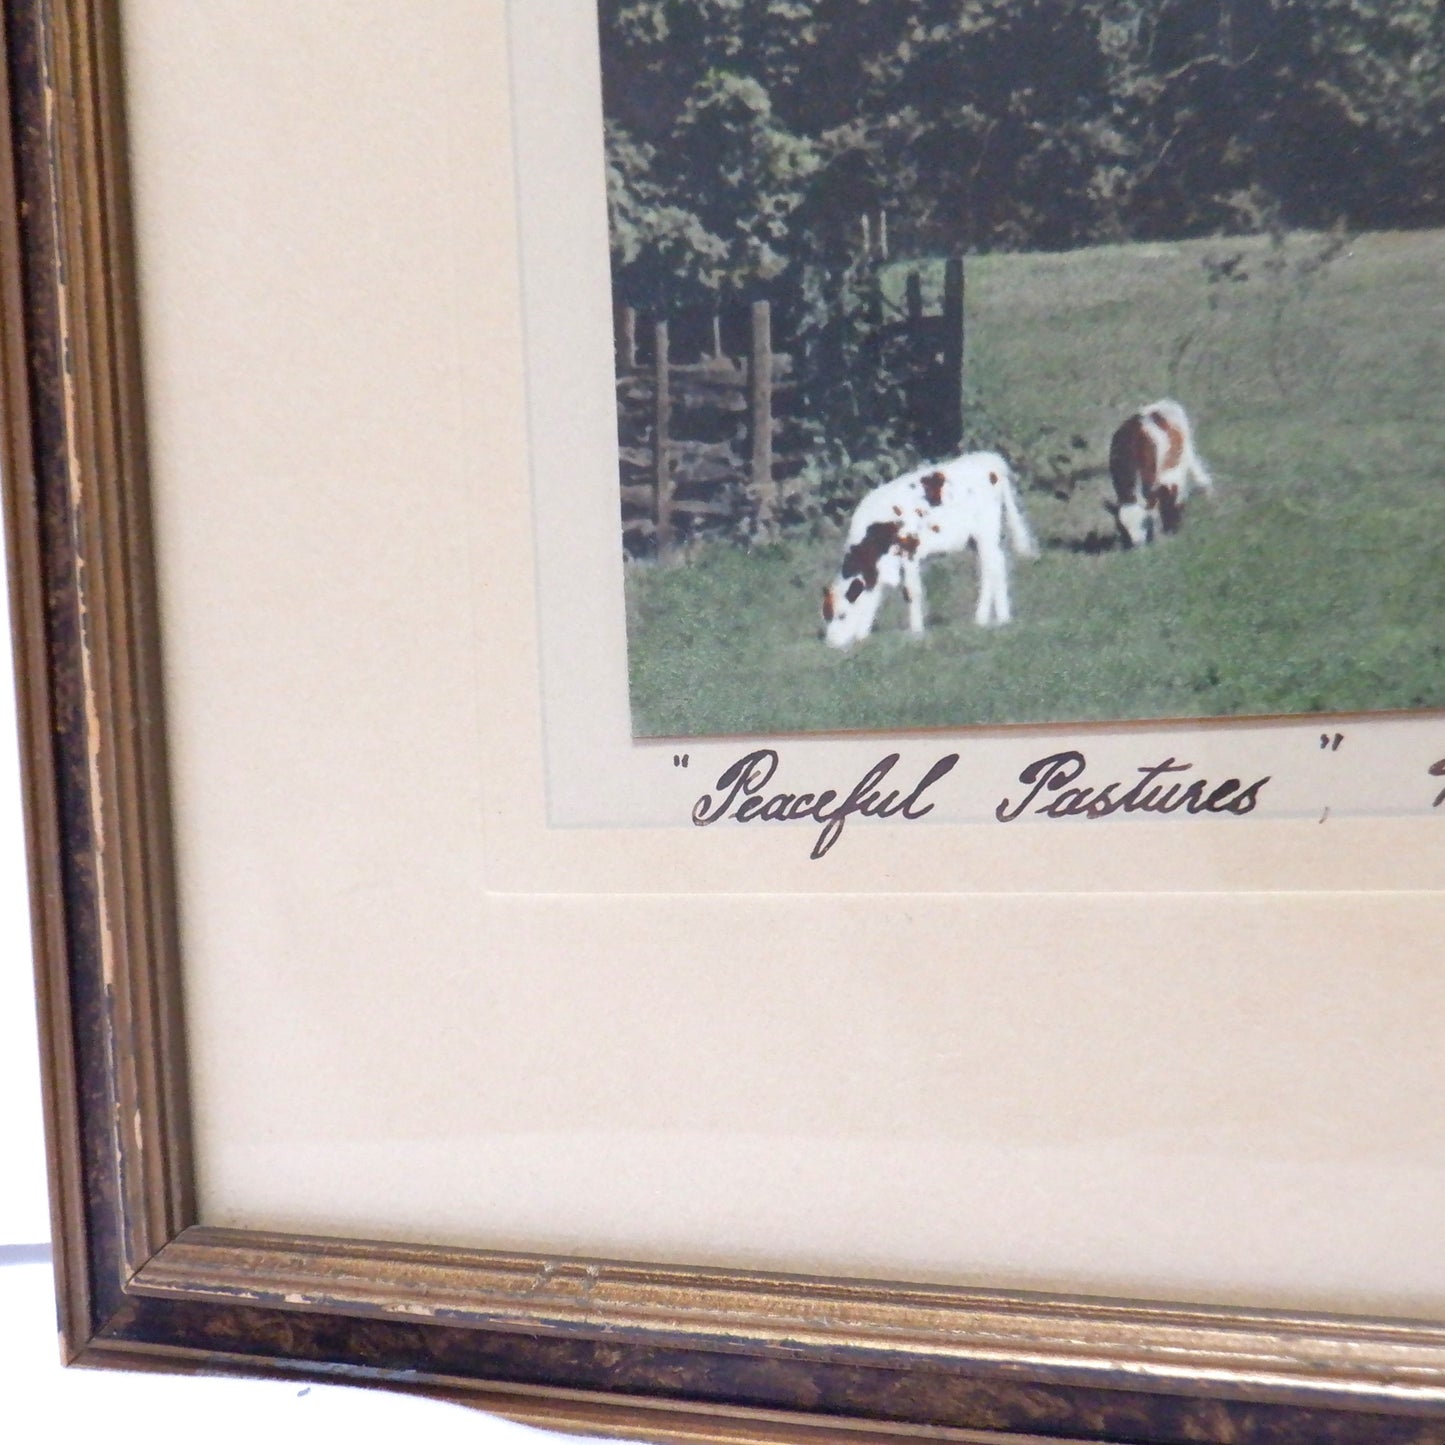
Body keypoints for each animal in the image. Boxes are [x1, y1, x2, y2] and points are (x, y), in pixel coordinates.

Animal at [826, 450, 1040, 650]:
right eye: (827, 614)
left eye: (842, 615)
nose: (832, 643)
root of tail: (992, 459)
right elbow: (874, 597)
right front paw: (864, 635)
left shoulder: (909, 552)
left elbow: (912, 591)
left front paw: (916, 632)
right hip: (980, 538)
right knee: (990, 568)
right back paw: (987, 618)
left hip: (988, 530)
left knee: (995, 566)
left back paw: (998, 618)